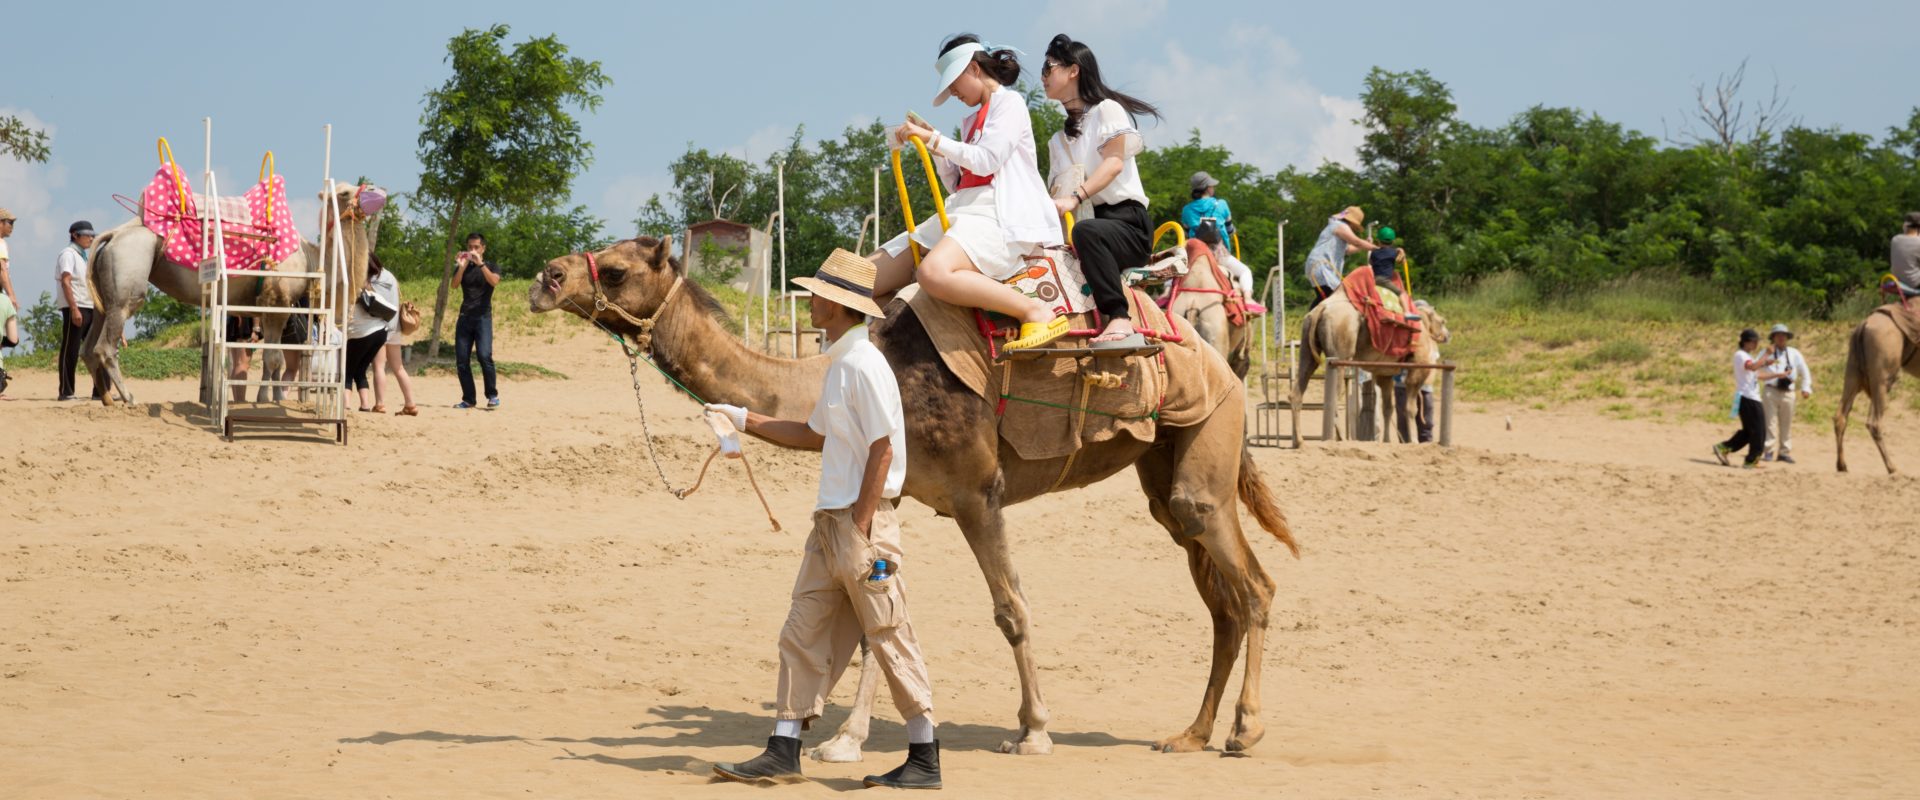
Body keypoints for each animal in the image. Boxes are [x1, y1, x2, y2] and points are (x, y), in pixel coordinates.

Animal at [82, 182, 374, 404]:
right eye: (344, 192)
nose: (371, 190)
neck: (312, 259)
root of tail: (113, 234)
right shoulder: (276, 302)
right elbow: (274, 358)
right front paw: (266, 399)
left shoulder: (268, 306)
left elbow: (273, 358)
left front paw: (270, 398)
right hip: (128, 280)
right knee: (105, 346)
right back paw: (129, 398)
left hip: (105, 295)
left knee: (88, 347)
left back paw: (107, 400)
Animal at [1290, 287, 1451, 448]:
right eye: (1443, 321)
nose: (1448, 335)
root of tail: (1321, 309)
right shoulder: (1418, 366)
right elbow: (1411, 408)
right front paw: (1414, 441)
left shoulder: (1385, 373)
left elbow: (1387, 408)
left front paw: (1386, 441)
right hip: (1340, 349)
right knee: (1334, 395)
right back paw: (1340, 437)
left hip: (1307, 338)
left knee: (1301, 383)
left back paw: (1299, 441)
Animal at [1827, 303, 1920, 468]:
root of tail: (1864, 325)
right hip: (1883, 378)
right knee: (1874, 423)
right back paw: (1892, 467)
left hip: (1853, 372)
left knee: (1840, 416)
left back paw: (1842, 465)